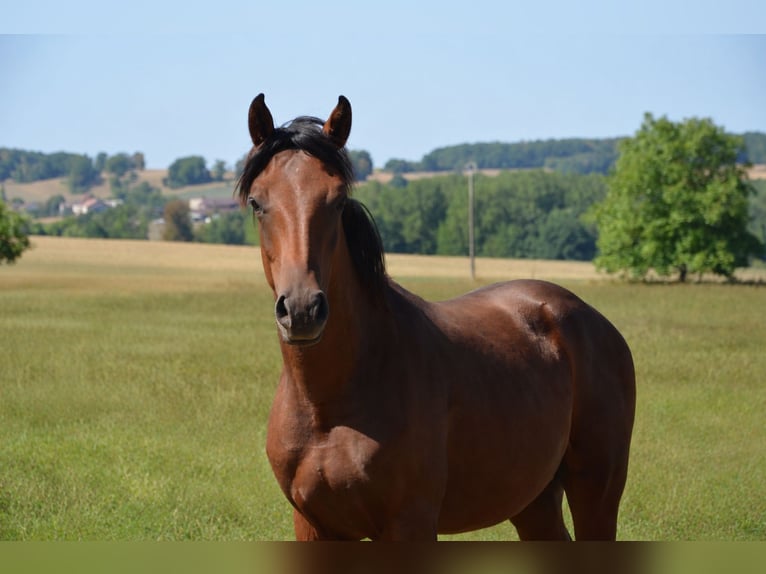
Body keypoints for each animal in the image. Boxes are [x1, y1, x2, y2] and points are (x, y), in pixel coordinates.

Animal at [236, 94, 636, 541]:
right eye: (257, 202)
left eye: (337, 200)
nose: (303, 310)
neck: (327, 406)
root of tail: (592, 320)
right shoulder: (313, 525)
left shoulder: (410, 524)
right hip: (532, 499)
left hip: (597, 491)